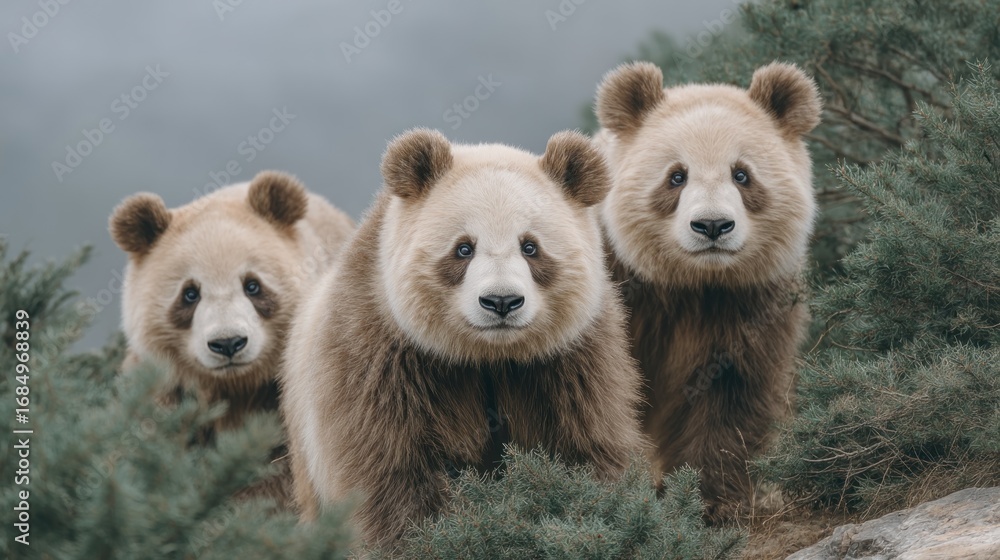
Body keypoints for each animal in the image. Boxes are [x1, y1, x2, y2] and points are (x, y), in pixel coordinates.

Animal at [281, 128, 646, 546]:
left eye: (530, 246)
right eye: (463, 248)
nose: (501, 302)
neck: (488, 355)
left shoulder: (573, 357)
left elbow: (589, 446)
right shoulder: (380, 351)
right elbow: (389, 472)